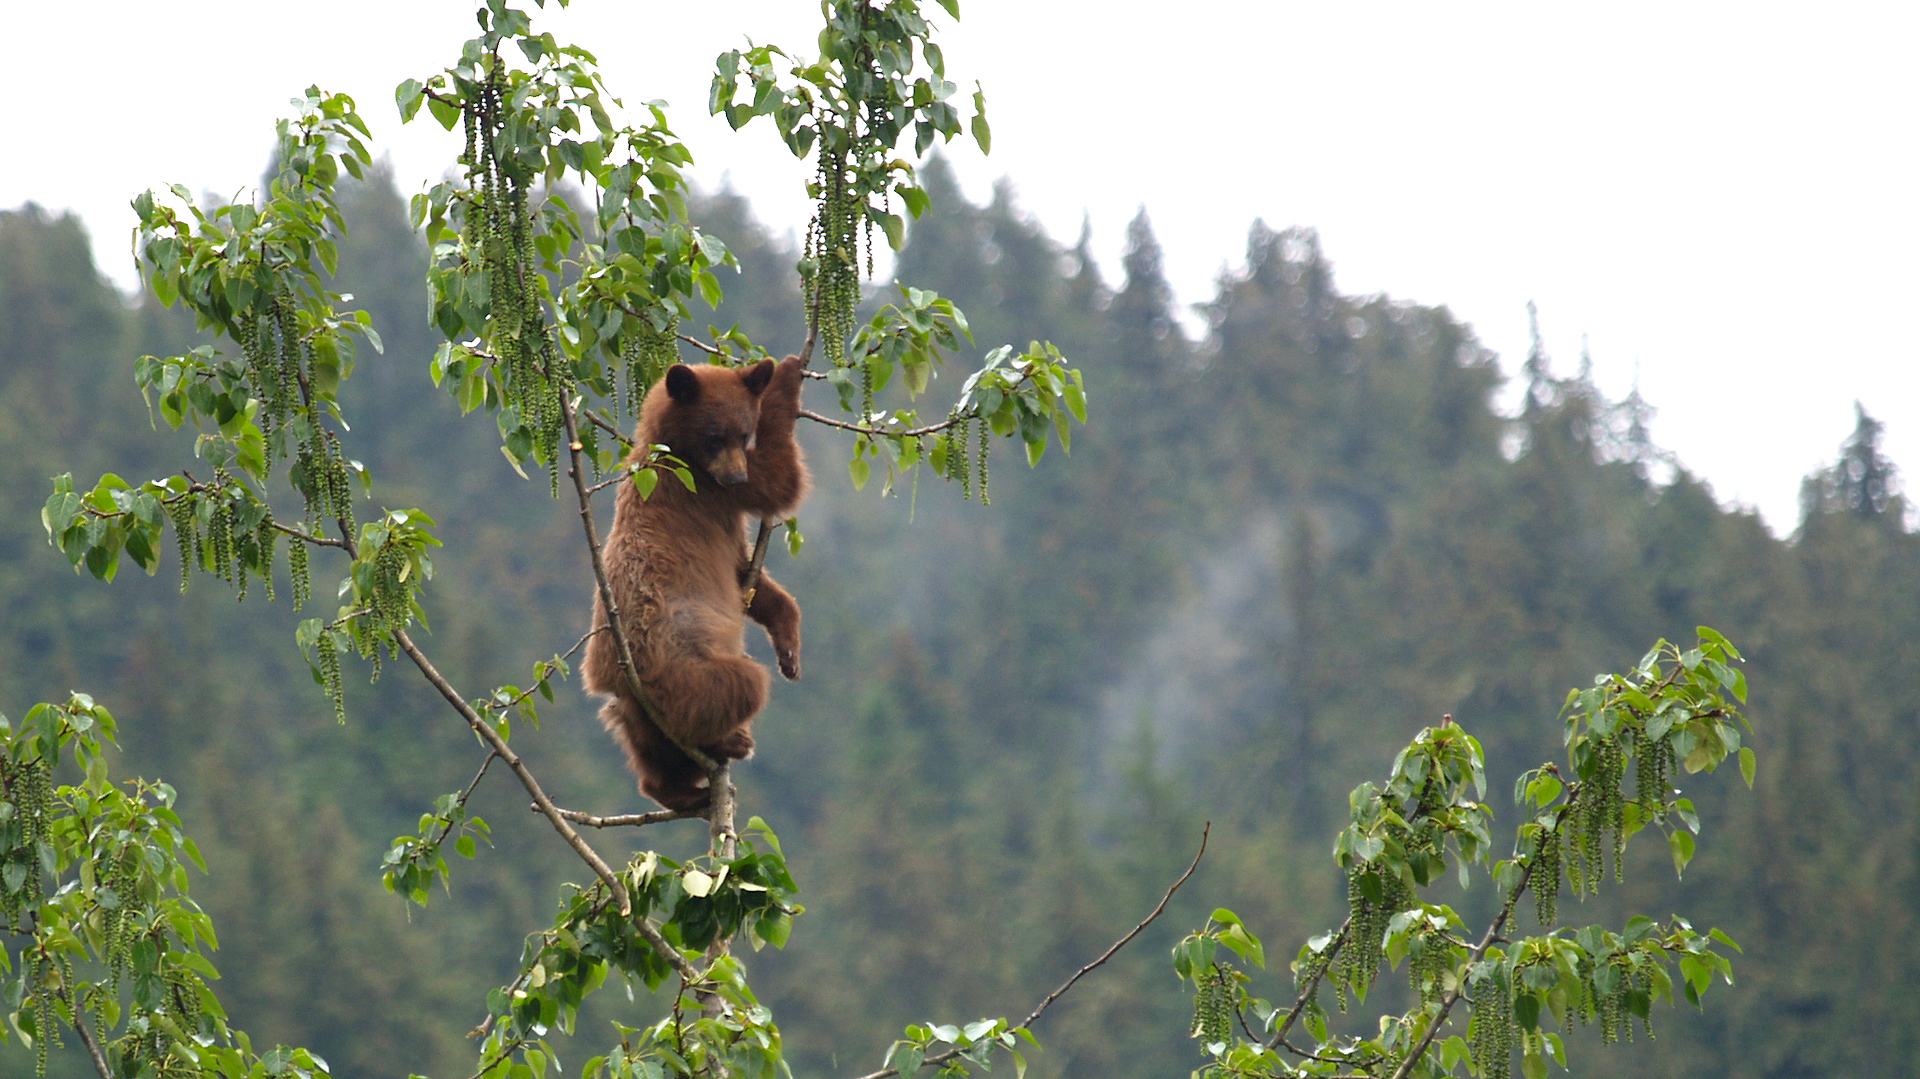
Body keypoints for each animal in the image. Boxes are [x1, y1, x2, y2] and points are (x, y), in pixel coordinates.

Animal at [582, 356, 809, 811]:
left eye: (743, 433)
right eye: (714, 437)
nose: (736, 476)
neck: (671, 451)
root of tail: (621, 676)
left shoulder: (724, 515)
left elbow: (748, 578)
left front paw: (790, 653)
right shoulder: (707, 490)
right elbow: (779, 478)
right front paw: (787, 374)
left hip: (636, 715)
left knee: (655, 756)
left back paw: (681, 791)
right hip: (691, 679)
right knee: (742, 688)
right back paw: (729, 743)